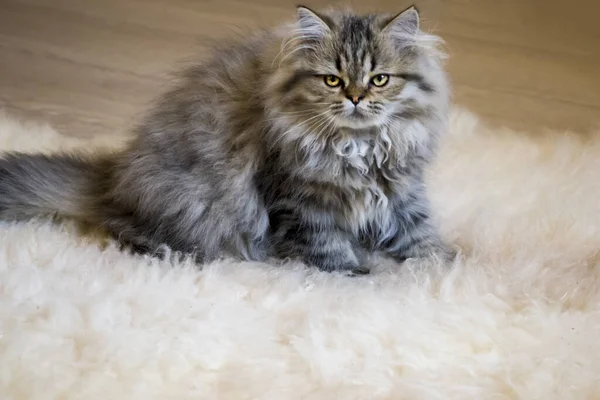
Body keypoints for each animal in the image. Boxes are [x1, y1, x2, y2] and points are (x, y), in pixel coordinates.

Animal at [0, 5, 454, 272]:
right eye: (332, 80)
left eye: (380, 79)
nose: (356, 98)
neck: (360, 147)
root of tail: (110, 177)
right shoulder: (300, 203)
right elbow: (328, 249)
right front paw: (362, 274)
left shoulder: (400, 191)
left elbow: (420, 236)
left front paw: (446, 267)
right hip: (190, 205)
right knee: (125, 231)